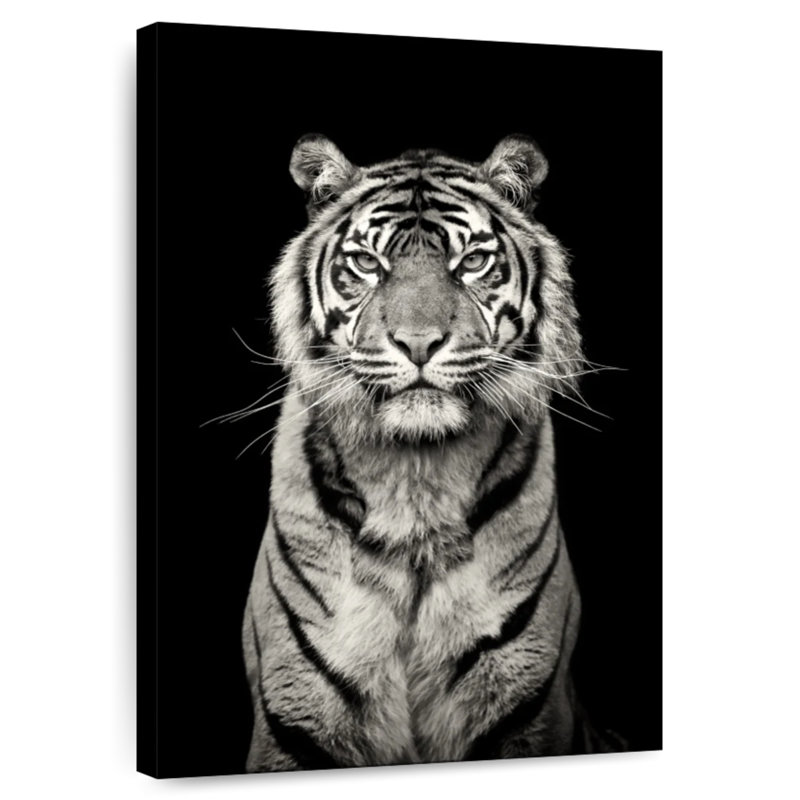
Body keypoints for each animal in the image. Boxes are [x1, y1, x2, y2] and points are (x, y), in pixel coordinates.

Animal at [241, 133, 622, 772]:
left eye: (471, 262)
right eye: (368, 264)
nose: (418, 343)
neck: (415, 477)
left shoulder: (526, 708)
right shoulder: (296, 713)